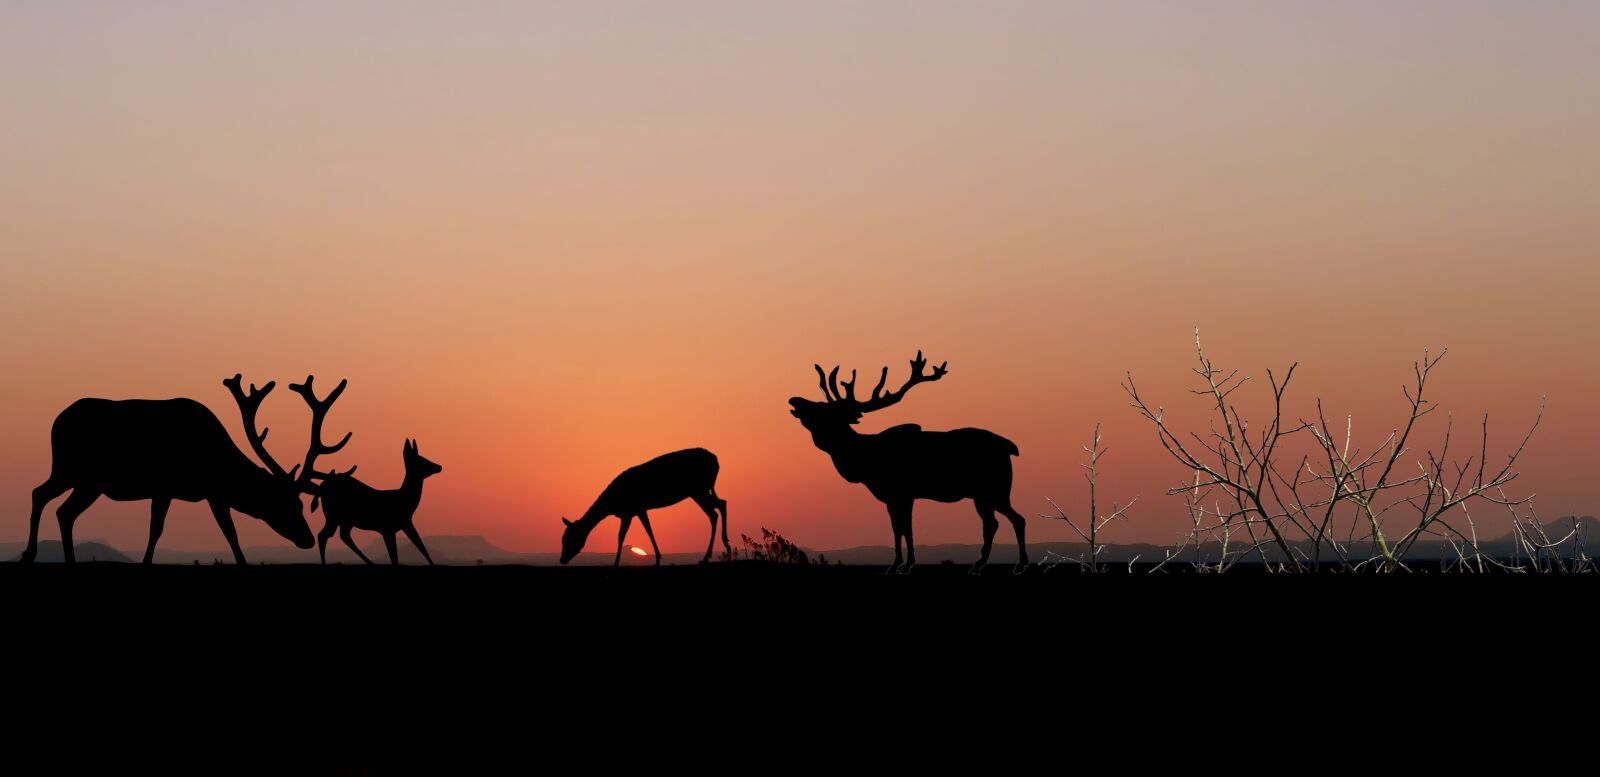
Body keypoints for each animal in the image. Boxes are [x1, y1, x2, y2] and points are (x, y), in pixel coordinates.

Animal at [20, 374, 350, 565]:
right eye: (285, 503)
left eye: (302, 504)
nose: (307, 539)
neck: (218, 466)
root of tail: (56, 421)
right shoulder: (168, 487)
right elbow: (160, 530)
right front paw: (146, 563)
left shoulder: (212, 493)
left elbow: (228, 532)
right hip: (73, 471)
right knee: (43, 496)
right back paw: (32, 554)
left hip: (85, 481)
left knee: (59, 508)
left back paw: (65, 559)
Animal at [311, 439, 443, 565]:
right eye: (422, 460)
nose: (439, 466)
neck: (405, 502)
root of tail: (323, 485)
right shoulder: (388, 528)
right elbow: (396, 558)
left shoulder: (404, 524)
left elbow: (420, 545)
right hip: (333, 515)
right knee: (324, 535)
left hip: (344, 519)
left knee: (342, 535)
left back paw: (370, 562)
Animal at [559, 448, 729, 568]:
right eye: (562, 538)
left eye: (571, 538)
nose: (562, 559)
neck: (612, 503)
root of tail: (716, 461)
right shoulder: (629, 513)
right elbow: (622, 536)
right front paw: (617, 563)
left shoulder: (637, 509)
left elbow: (646, 531)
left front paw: (657, 559)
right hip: (702, 490)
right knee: (722, 504)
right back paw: (725, 548)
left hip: (698, 490)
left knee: (714, 513)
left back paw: (708, 557)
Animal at [788, 351, 1028, 574]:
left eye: (823, 410)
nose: (794, 399)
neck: (864, 462)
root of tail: (1010, 448)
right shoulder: (894, 496)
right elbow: (900, 528)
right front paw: (902, 563)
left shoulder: (902, 492)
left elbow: (904, 527)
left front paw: (902, 564)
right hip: (983, 495)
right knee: (995, 522)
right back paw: (980, 563)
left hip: (994, 489)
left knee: (1015, 519)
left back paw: (1016, 563)